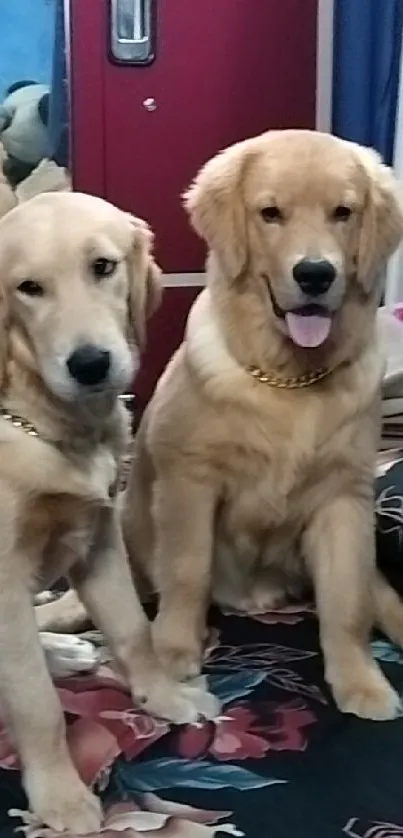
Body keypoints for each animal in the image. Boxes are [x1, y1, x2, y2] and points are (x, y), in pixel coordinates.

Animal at [0, 195, 216, 832]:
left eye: (103, 267)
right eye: (29, 288)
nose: (91, 364)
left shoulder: (97, 541)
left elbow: (133, 629)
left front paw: (163, 697)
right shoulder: (4, 581)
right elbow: (35, 701)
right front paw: (60, 797)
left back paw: (66, 652)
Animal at [121, 130, 403, 720]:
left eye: (343, 213)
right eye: (270, 213)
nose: (316, 274)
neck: (289, 381)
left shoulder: (344, 499)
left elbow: (347, 602)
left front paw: (360, 682)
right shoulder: (191, 481)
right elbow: (186, 570)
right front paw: (173, 653)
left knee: (381, 595)